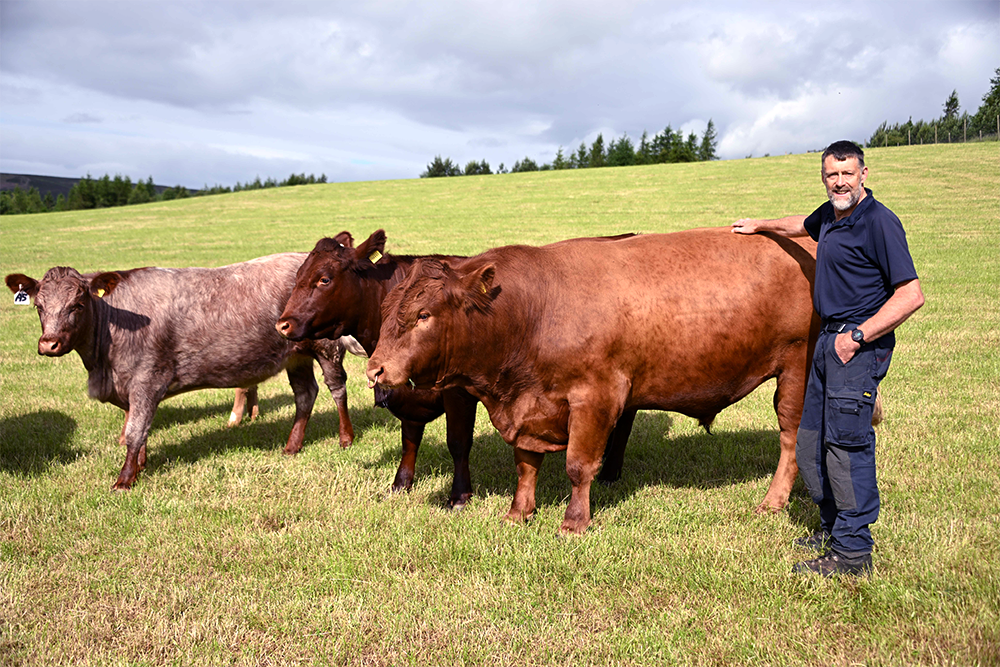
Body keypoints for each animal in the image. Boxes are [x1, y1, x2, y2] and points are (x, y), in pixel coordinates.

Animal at [6, 246, 363, 491]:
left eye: (78, 304)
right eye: (39, 306)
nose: (49, 344)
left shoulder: (147, 379)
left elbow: (135, 431)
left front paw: (124, 479)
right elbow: (139, 430)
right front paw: (140, 465)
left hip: (326, 348)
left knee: (336, 388)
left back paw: (346, 438)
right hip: (296, 356)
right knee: (305, 395)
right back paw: (291, 446)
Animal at [275, 230, 641, 509]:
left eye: (324, 279)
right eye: (298, 275)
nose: (283, 324)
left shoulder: (458, 393)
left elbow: (458, 442)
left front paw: (459, 495)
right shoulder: (407, 395)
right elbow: (410, 439)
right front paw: (401, 483)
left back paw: (610, 472)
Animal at [366, 228, 821, 534]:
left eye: (424, 314)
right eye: (384, 311)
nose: (375, 370)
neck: (535, 311)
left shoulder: (595, 398)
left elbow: (578, 466)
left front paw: (574, 522)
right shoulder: (529, 408)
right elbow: (525, 464)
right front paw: (518, 512)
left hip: (798, 368)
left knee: (790, 438)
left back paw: (772, 502)